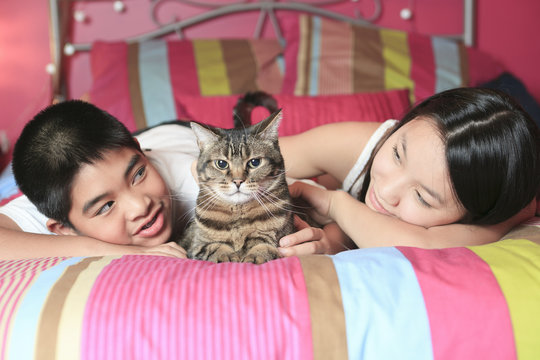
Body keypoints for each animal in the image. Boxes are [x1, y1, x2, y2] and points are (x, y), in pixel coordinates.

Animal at [181, 108, 294, 262]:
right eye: (221, 164)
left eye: (255, 162)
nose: (238, 181)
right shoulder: (196, 246)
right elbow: (215, 247)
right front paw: (226, 255)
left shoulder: (279, 237)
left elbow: (264, 246)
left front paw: (257, 256)